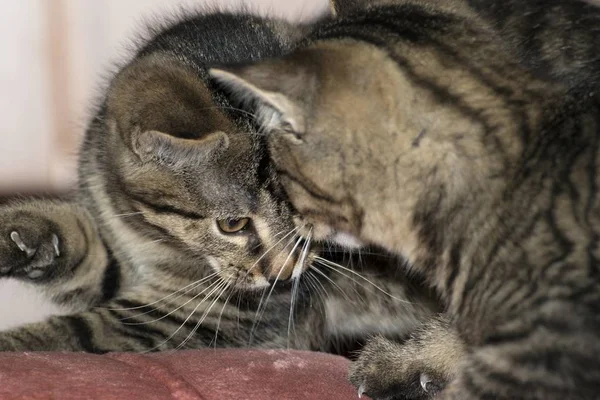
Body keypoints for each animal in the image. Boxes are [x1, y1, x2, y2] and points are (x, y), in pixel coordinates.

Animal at [0, 7, 436, 354]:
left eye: (315, 218)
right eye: (232, 224)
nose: (283, 274)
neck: (153, 238)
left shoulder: (199, 316)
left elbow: (78, 332)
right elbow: (83, 242)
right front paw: (21, 235)